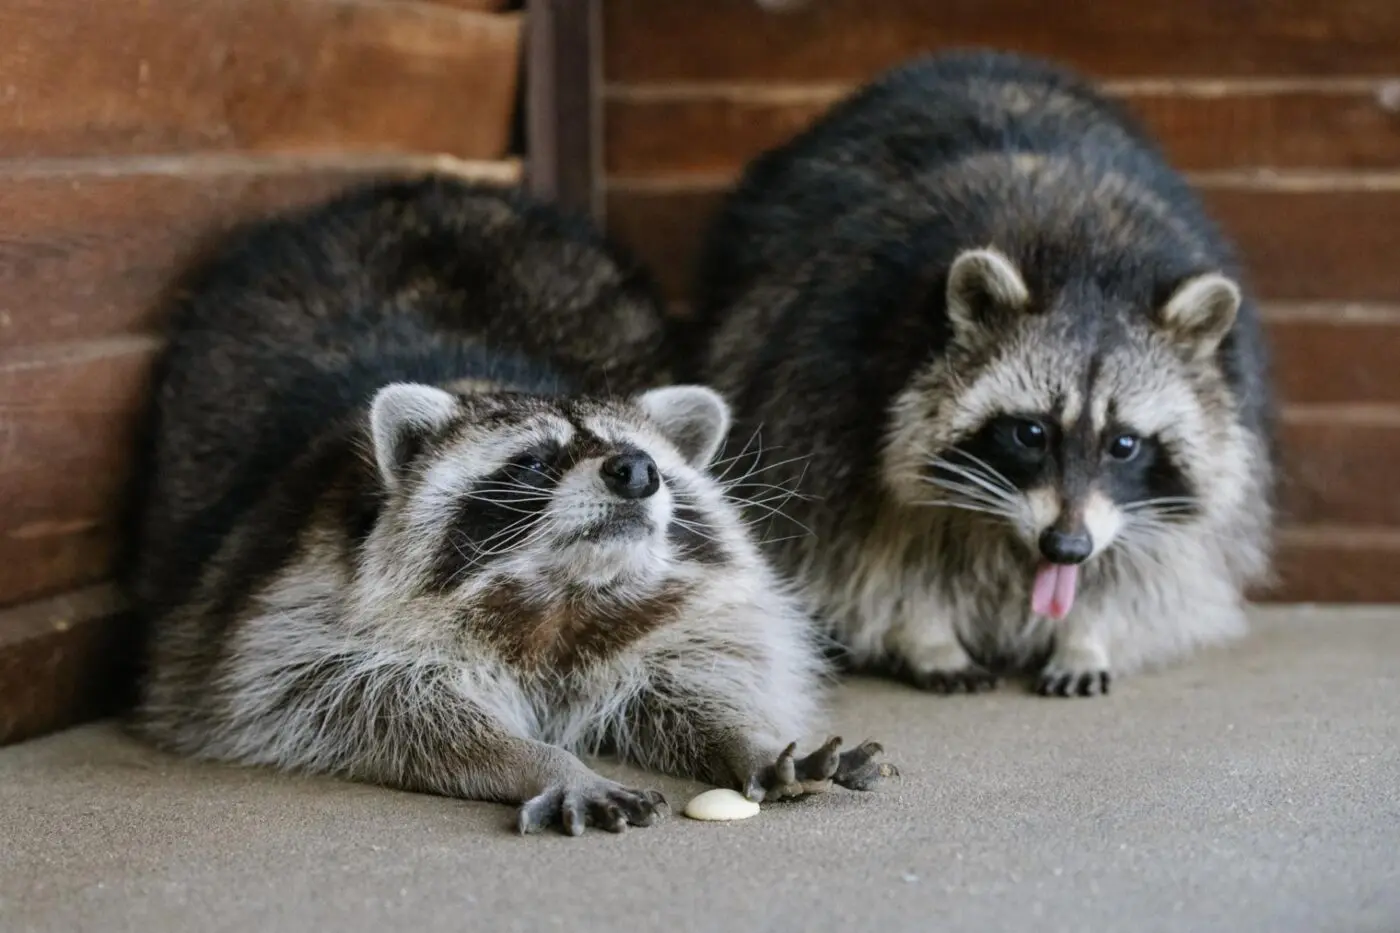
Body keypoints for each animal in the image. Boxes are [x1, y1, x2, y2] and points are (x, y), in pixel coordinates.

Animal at [127, 176, 895, 836]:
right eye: (533, 463)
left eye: (644, 457)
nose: (637, 471)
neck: (561, 603)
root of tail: (416, 190)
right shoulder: (295, 608)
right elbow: (371, 705)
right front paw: (543, 761)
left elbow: (697, 673)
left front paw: (748, 736)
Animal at [685, 51, 1276, 698]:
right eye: (1031, 433)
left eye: (1125, 444)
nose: (1065, 546)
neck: (1084, 260)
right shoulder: (826, 379)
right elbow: (863, 543)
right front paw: (923, 634)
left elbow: (1156, 554)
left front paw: (1087, 632)